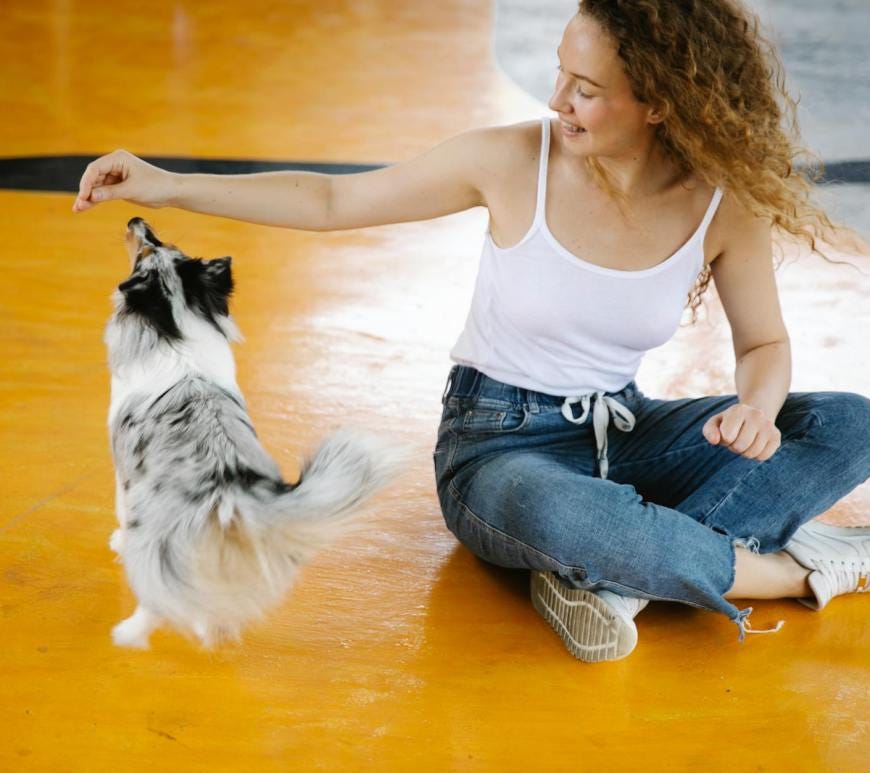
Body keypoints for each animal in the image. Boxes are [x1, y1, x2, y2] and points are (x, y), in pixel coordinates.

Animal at [104, 216, 410, 644]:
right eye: (163, 241)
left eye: (146, 250)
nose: (136, 220)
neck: (177, 330)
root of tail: (231, 487)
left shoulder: (123, 472)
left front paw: (117, 541)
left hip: (159, 542)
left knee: (161, 597)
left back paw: (129, 632)